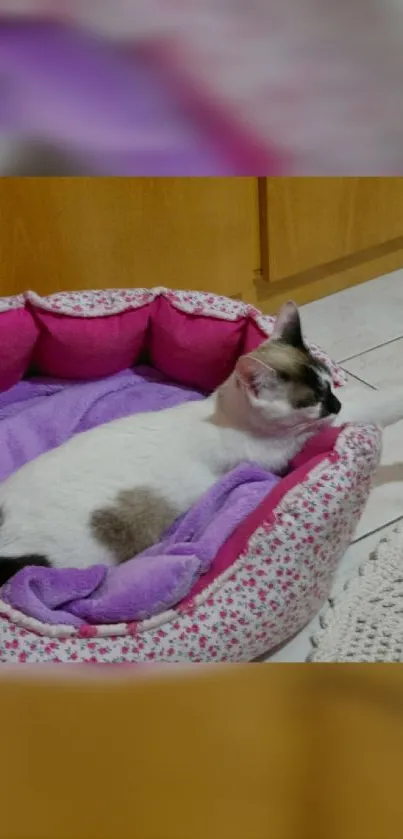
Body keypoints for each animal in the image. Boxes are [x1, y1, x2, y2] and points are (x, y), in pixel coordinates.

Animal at [0, 300, 400, 584]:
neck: (222, 413)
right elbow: (370, 405)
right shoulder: (286, 447)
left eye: (329, 386)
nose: (336, 404)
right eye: (312, 401)